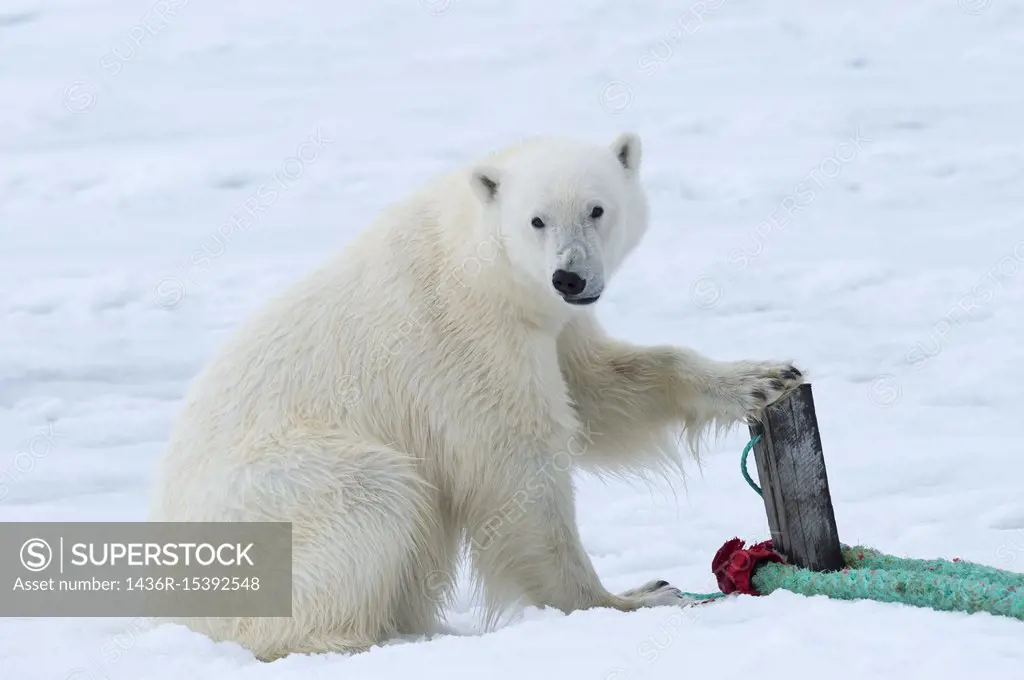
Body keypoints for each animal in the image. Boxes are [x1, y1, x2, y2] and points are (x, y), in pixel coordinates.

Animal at [148, 133, 802, 659]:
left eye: (597, 209)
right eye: (537, 220)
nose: (570, 276)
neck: (480, 262)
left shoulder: (552, 326)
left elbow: (600, 388)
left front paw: (762, 377)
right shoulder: (463, 338)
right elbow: (516, 465)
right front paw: (635, 597)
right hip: (284, 494)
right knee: (377, 493)